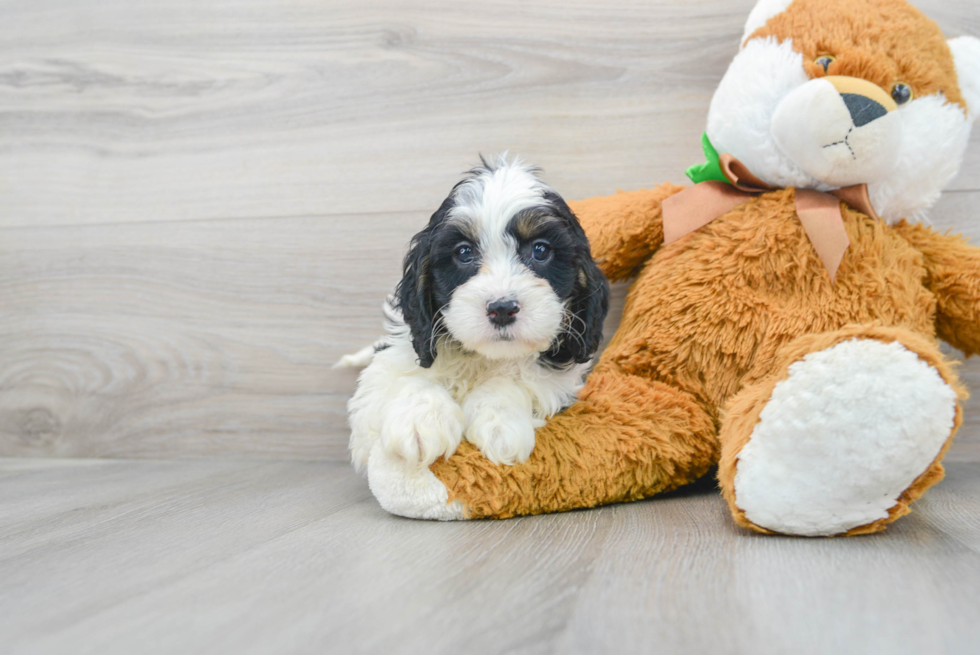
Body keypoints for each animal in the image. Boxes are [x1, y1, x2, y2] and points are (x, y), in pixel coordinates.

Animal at [342, 154, 604, 472]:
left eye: (541, 251)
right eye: (464, 252)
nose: (502, 308)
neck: (482, 358)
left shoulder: (558, 383)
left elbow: (516, 380)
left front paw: (500, 423)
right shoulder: (398, 354)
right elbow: (409, 375)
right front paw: (420, 422)